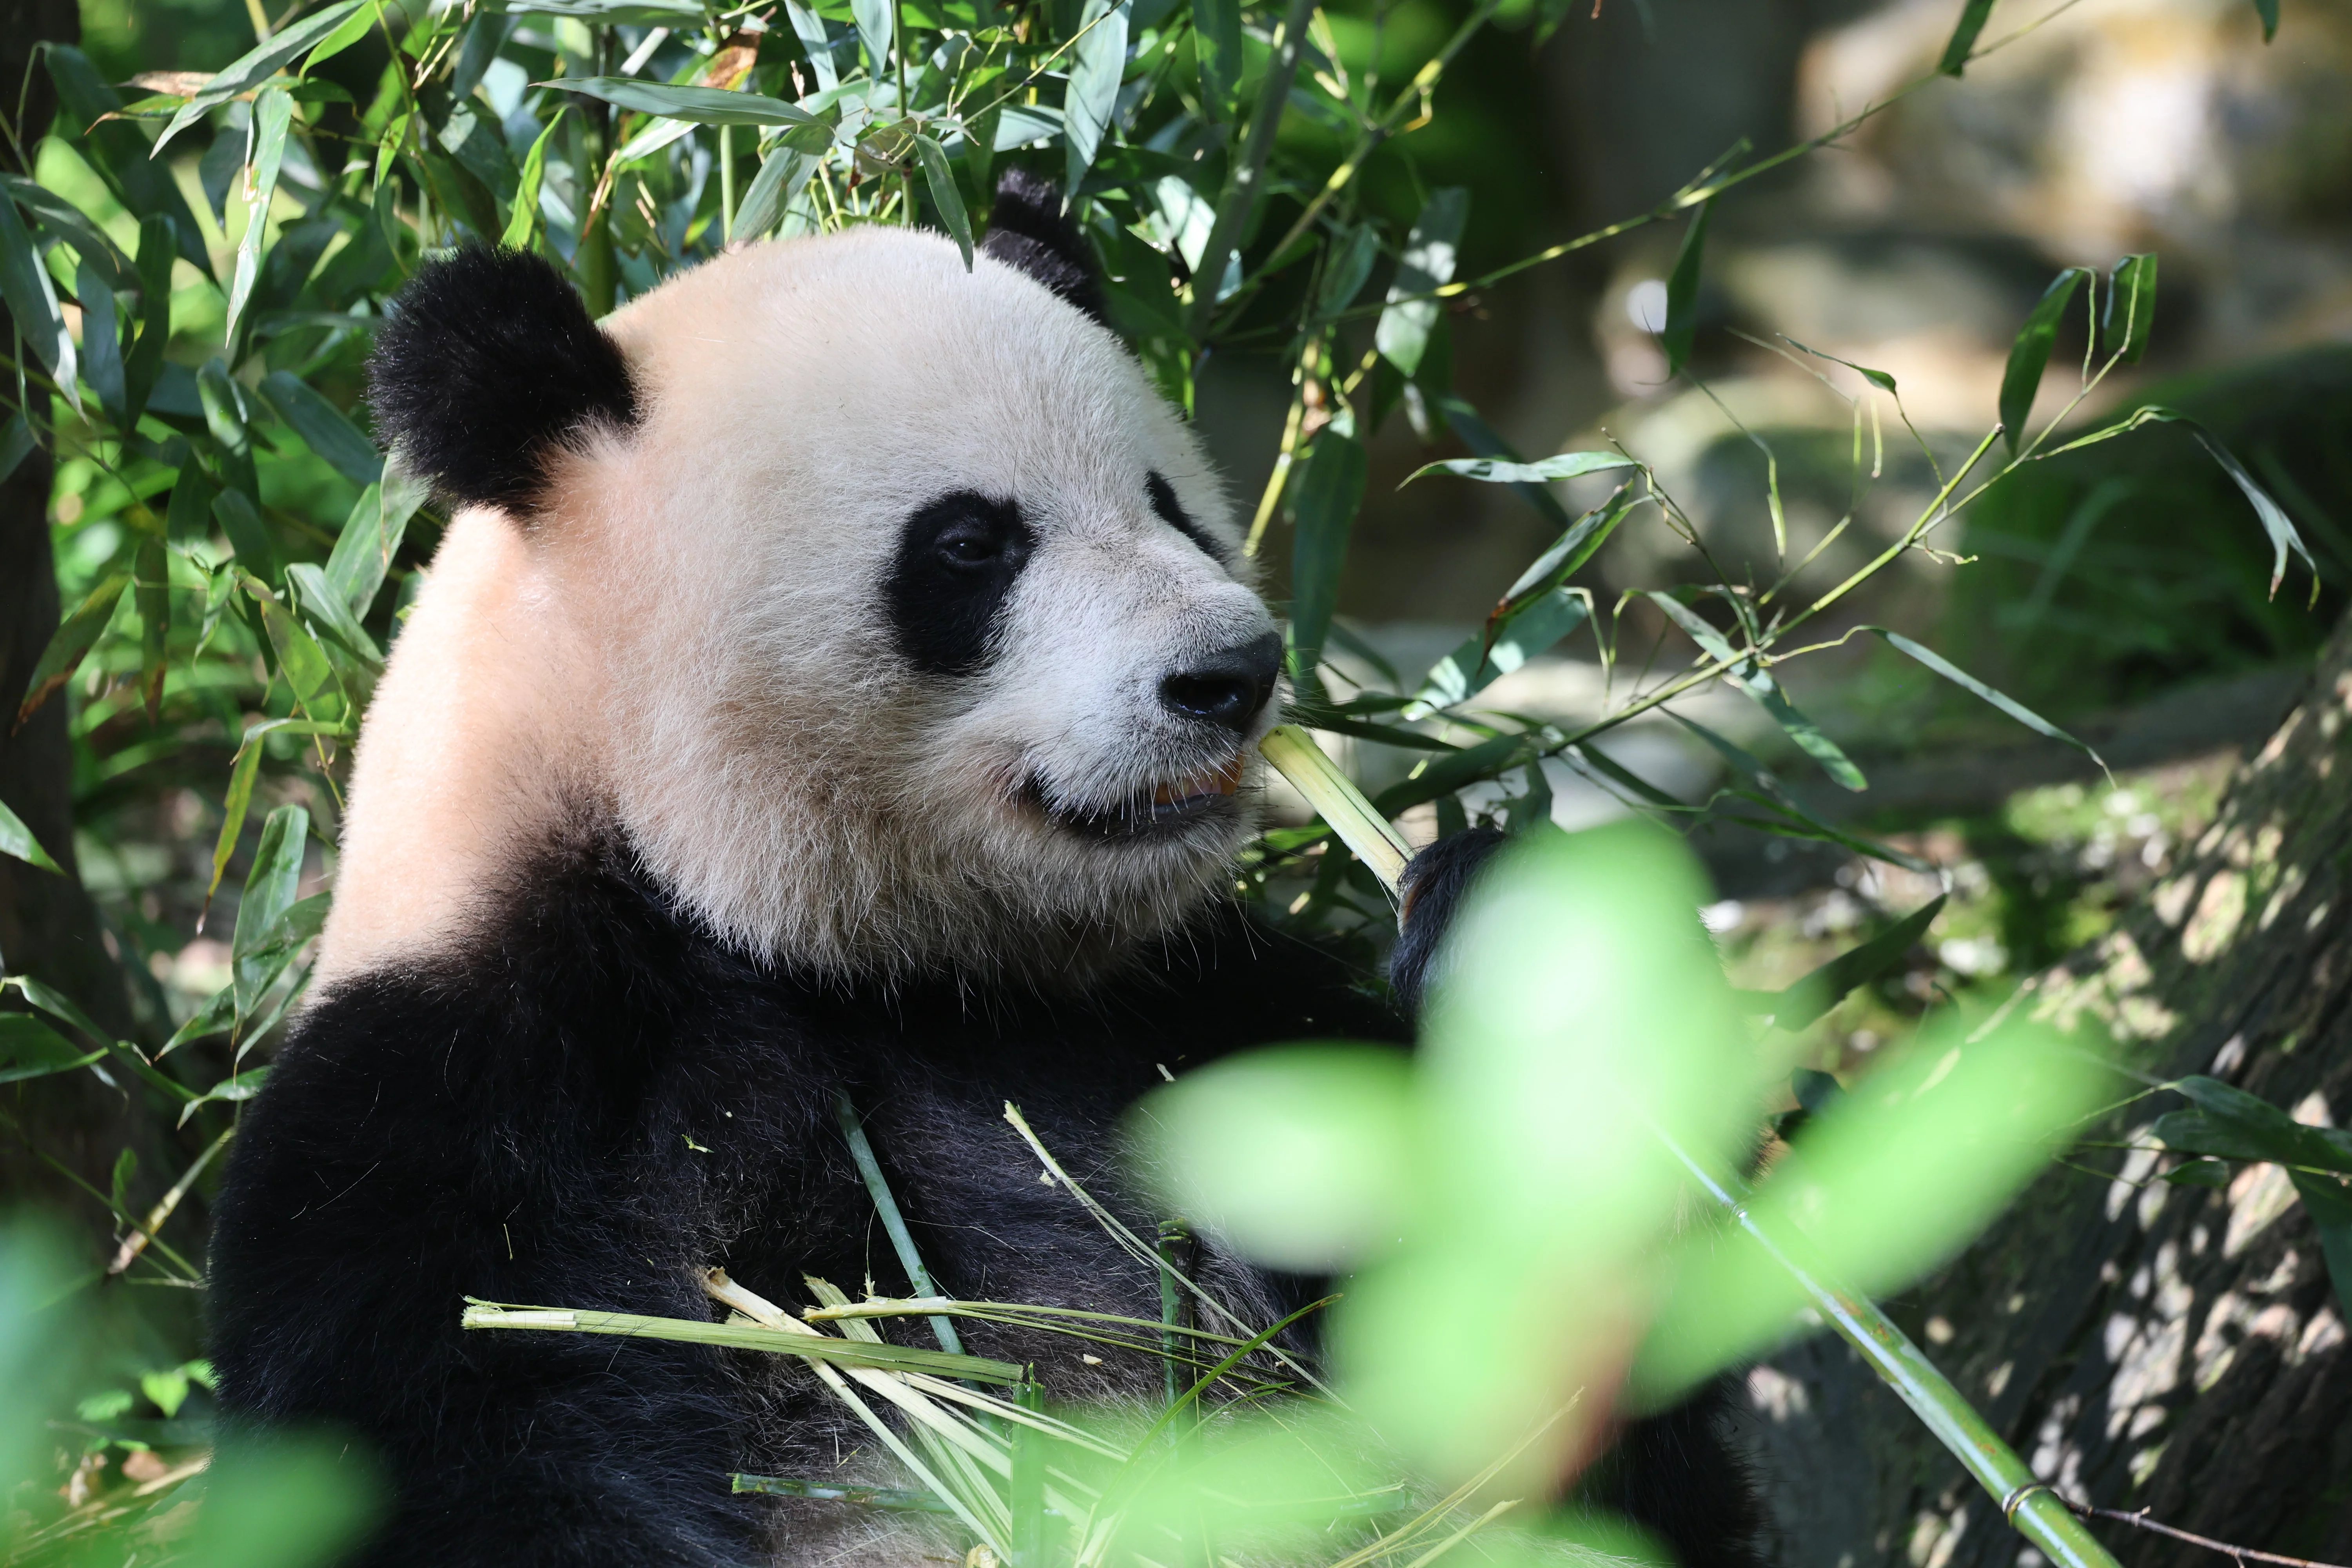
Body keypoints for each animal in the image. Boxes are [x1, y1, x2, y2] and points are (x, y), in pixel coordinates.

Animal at [205, 170, 1763, 1568]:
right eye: (969, 542)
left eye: (1169, 501)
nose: (1231, 673)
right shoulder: (460, 1104)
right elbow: (457, 1460)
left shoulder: (1195, 1009)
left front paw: (1529, 957)